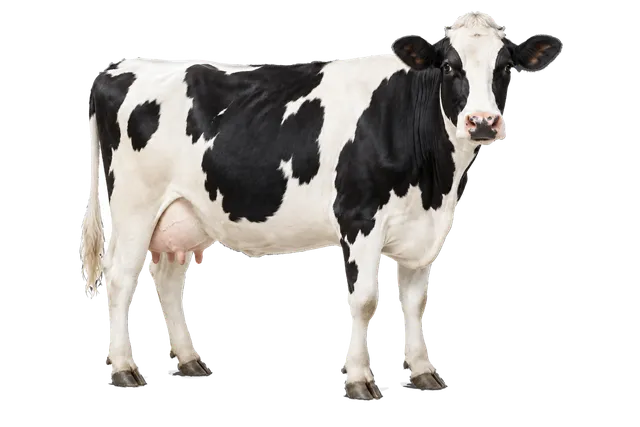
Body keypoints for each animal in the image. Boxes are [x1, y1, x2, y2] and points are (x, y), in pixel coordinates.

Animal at [81, 11, 562, 399]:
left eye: (505, 67)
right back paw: (124, 370)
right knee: (121, 279)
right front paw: (361, 381)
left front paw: (425, 372)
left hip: (181, 213)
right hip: (134, 207)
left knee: (166, 278)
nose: (482, 121)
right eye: (448, 66)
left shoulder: (425, 229)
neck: (435, 183)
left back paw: (189, 361)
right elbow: (364, 300)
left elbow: (416, 301)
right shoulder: (359, 218)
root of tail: (116, 70)